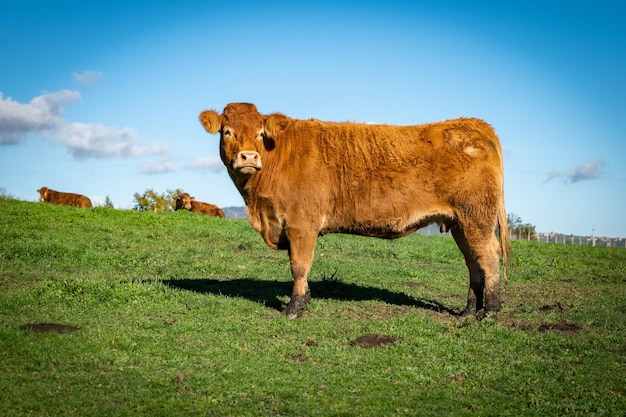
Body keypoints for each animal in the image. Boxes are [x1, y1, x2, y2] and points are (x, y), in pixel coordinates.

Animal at [197, 104, 510, 318]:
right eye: (227, 131)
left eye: (261, 134)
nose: (249, 157)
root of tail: (472, 123)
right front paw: (305, 301)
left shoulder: (301, 223)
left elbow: (299, 266)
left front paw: (294, 308)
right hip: (460, 224)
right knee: (474, 263)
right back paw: (469, 311)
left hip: (476, 219)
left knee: (488, 258)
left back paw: (490, 312)